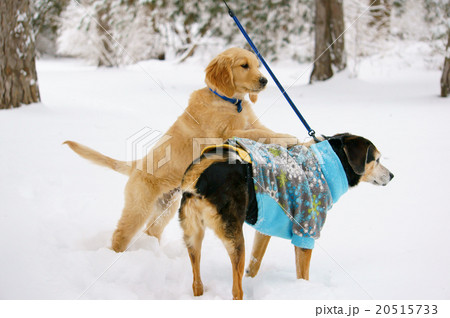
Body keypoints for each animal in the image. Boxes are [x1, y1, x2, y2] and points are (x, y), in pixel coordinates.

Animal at [64, 46, 296, 251]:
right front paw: (289, 138)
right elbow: (256, 134)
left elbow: (265, 131)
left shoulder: (253, 124)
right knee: (120, 235)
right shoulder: (226, 135)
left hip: (166, 207)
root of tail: (137, 165)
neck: (231, 101)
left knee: (152, 231)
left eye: (257, 65)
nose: (265, 80)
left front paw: (291, 138)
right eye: (244, 65)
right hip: (139, 207)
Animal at [179, 133, 394, 300]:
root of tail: (199, 178)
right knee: (236, 290)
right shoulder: (306, 232)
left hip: (193, 236)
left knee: (197, 281)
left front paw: (252, 278)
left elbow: (255, 263)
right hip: (235, 239)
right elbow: (302, 274)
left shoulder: (265, 227)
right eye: (377, 160)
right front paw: (303, 292)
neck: (326, 164)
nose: (392, 176)